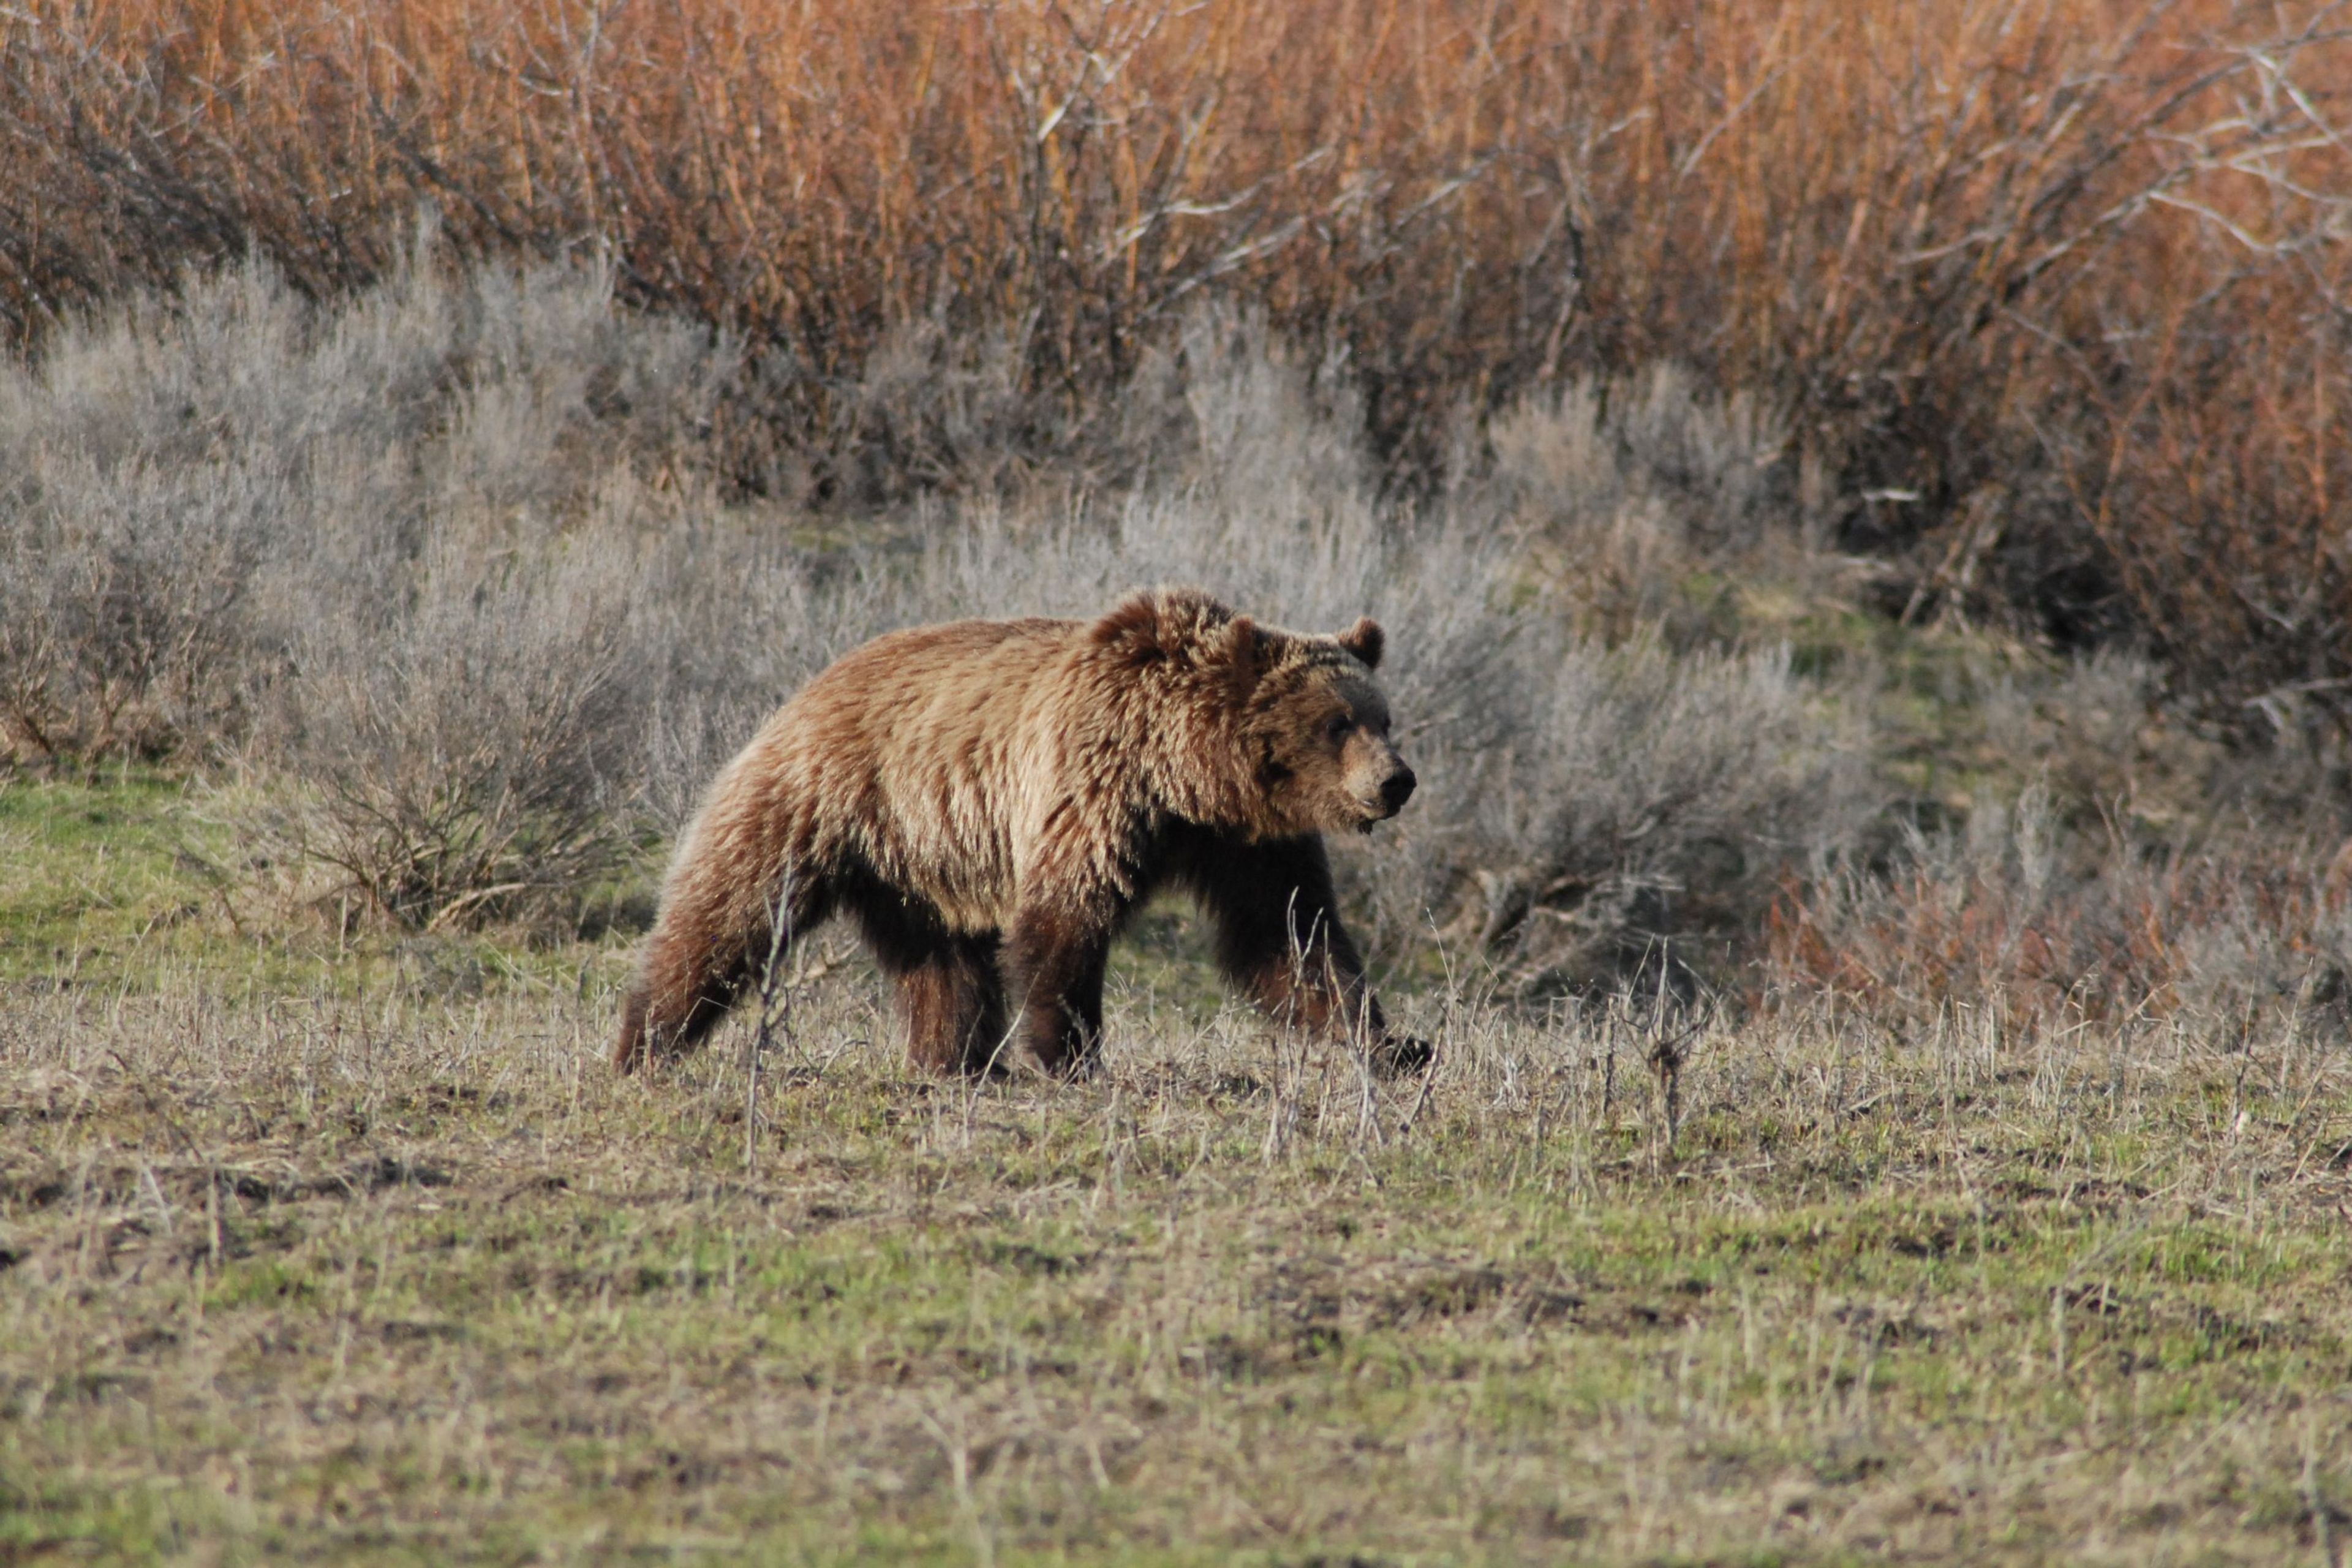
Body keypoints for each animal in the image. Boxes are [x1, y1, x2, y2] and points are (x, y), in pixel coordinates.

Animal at [616, 587, 1420, 1081]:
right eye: (1337, 722)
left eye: (1383, 717)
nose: (1396, 781)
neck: (1189, 775)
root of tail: (808, 686)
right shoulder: (1098, 786)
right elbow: (1066, 919)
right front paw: (1069, 1054)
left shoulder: (1245, 843)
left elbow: (1292, 937)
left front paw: (1391, 1044)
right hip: (826, 798)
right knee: (730, 908)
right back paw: (644, 1040)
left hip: (920, 860)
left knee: (941, 962)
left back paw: (959, 1060)